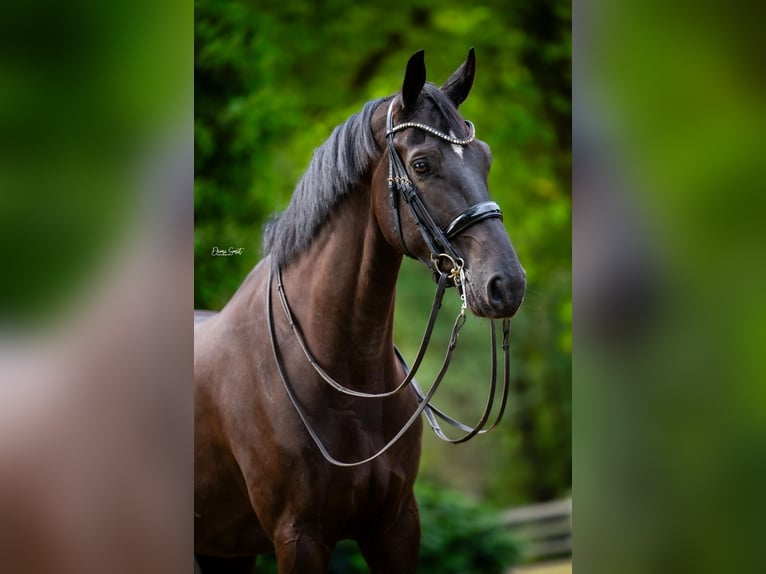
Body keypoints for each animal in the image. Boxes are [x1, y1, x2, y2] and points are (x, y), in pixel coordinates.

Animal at [194, 48, 526, 573]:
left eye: (485, 158)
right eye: (422, 164)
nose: (506, 284)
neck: (346, 378)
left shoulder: (396, 527)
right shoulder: (301, 537)